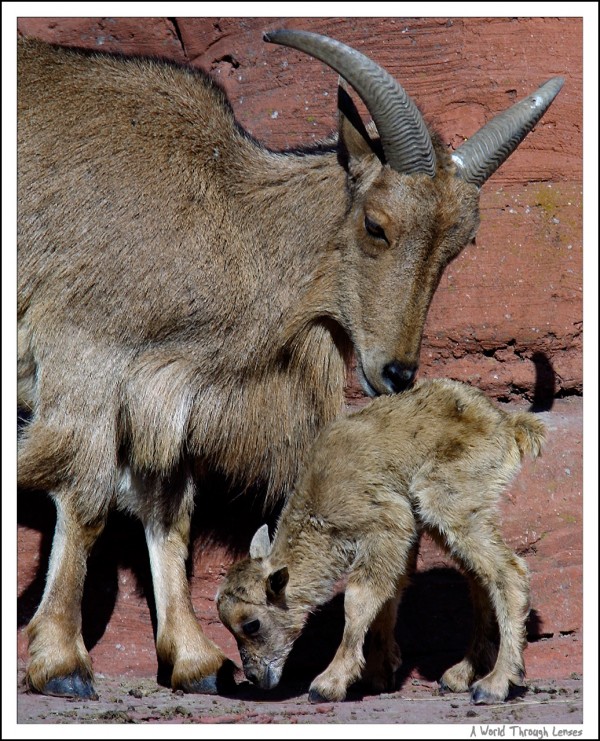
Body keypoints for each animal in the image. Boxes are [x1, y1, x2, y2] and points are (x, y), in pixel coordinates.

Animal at [218, 378, 548, 704]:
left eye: (251, 624)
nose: (254, 676)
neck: (319, 498)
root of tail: (509, 426)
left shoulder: (385, 527)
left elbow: (359, 600)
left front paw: (328, 684)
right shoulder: (402, 539)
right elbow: (390, 593)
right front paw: (379, 673)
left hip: (447, 501)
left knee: (509, 573)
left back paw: (493, 685)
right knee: (480, 580)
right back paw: (459, 676)